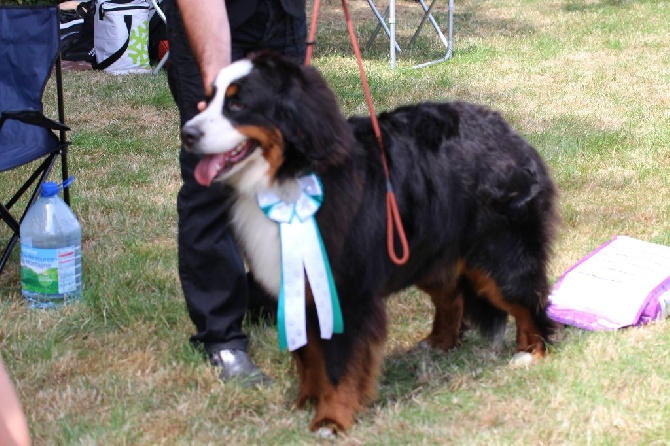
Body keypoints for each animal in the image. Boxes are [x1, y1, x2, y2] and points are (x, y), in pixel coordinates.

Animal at [180, 50, 560, 434]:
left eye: (237, 104)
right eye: (208, 99)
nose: (188, 133)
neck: (293, 175)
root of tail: (507, 130)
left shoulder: (345, 292)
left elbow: (339, 366)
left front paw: (331, 419)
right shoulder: (299, 287)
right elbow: (308, 356)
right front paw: (305, 401)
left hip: (499, 253)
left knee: (529, 297)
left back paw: (531, 351)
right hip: (425, 251)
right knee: (452, 297)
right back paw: (437, 344)